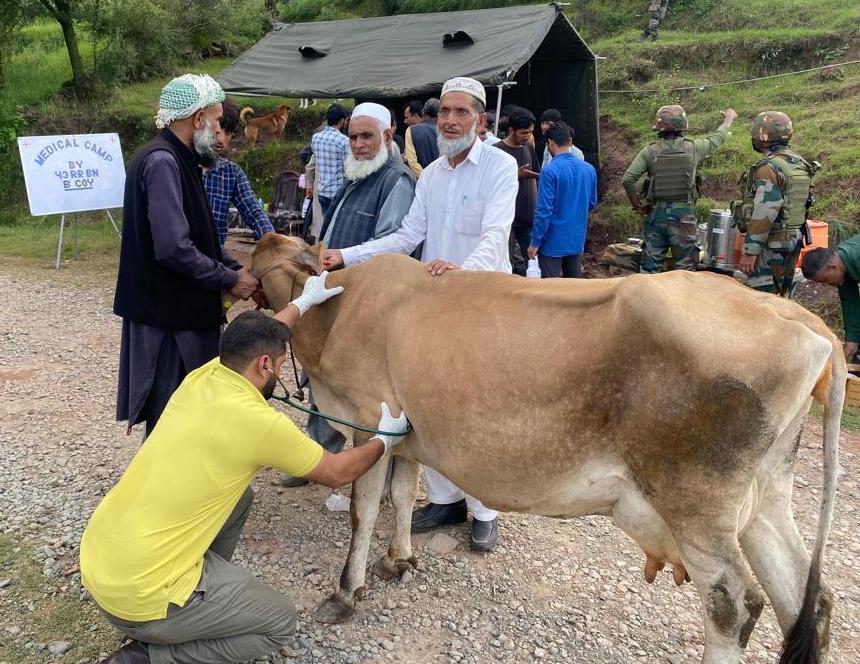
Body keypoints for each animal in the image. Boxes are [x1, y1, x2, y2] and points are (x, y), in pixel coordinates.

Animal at [252, 235, 844, 664]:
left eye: (253, 261)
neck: (340, 309)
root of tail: (799, 318)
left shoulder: (365, 417)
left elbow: (364, 509)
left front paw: (345, 593)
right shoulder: (407, 437)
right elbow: (400, 496)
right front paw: (399, 560)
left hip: (696, 501)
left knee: (734, 606)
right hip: (765, 495)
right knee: (807, 600)